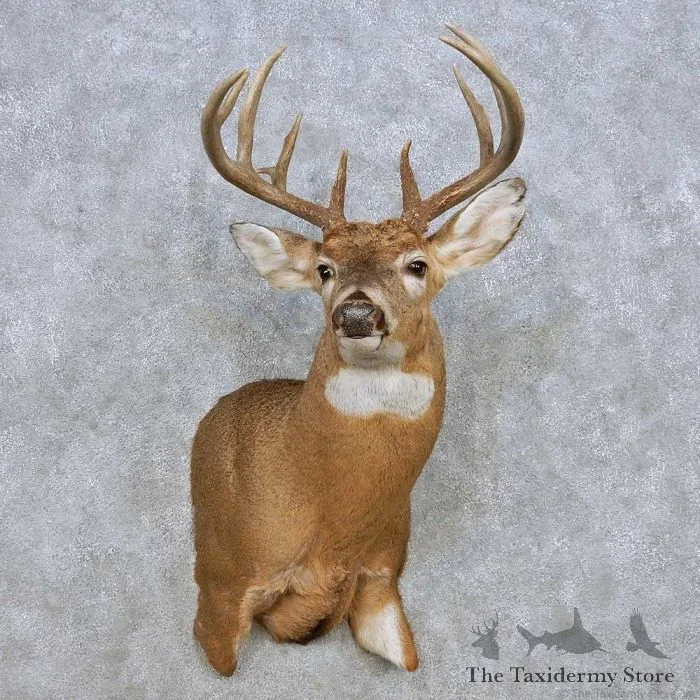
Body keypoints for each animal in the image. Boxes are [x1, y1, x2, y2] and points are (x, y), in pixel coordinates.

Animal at [192, 24, 526, 676]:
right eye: (324, 269)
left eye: (417, 264)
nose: (355, 312)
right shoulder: (222, 581)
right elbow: (223, 649)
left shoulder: (384, 573)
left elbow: (405, 653)